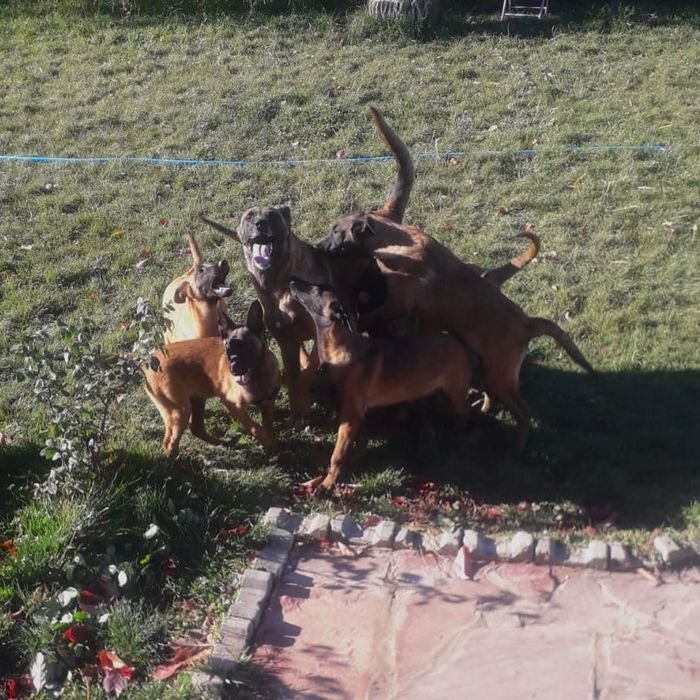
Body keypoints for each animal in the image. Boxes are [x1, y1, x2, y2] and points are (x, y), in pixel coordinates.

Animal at [143, 300, 279, 458]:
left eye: (247, 347)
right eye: (228, 349)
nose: (233, 370)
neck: (257, 377)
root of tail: (146, 363)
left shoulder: (268, 404)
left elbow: (266, 426)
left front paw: (270, 444)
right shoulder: (233, 405)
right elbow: (255, 427)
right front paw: (269, 445)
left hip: (197, 400)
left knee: (196, 428)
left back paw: (222, 443)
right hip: (179, 411)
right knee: (169, 444)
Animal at [289, 277, 471, 493]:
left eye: (316, 290)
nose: (292, 280)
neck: (342, 348)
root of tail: (457, 342)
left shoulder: (351, 412)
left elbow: (338, 453)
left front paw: (327, 484)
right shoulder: (355, 414)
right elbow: (358, 442)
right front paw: (353, 463)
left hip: (456, 393)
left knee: (464, 415)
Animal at [318, 108, 593, 449]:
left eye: (336, 231)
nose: (319, 246)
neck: (395, 241)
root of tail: (528, 324)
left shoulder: (397, 304)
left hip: (500, 375)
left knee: (523, 413)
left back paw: (515, 446)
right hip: (489, 370)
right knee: (495, 398)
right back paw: (481, 412)